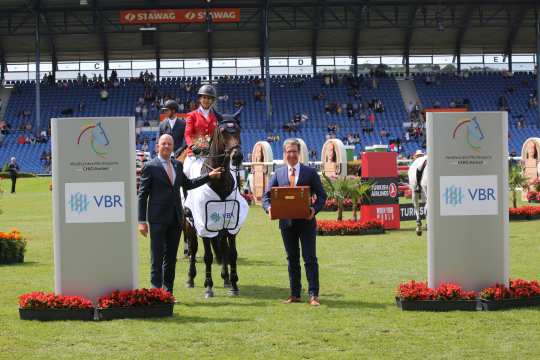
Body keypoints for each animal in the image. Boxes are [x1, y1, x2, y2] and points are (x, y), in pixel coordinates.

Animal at [177, 113, 245, 298]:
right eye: (222, 131)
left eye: (238, 130)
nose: (237, 156)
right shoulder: (203, 223)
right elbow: (207, 255)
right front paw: (208, 286)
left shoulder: (230, 223)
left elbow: (231, 253)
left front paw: (234, 285)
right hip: (189, 222)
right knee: (193, 248)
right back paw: (190, 278)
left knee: (221, 248)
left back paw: (226, 278)